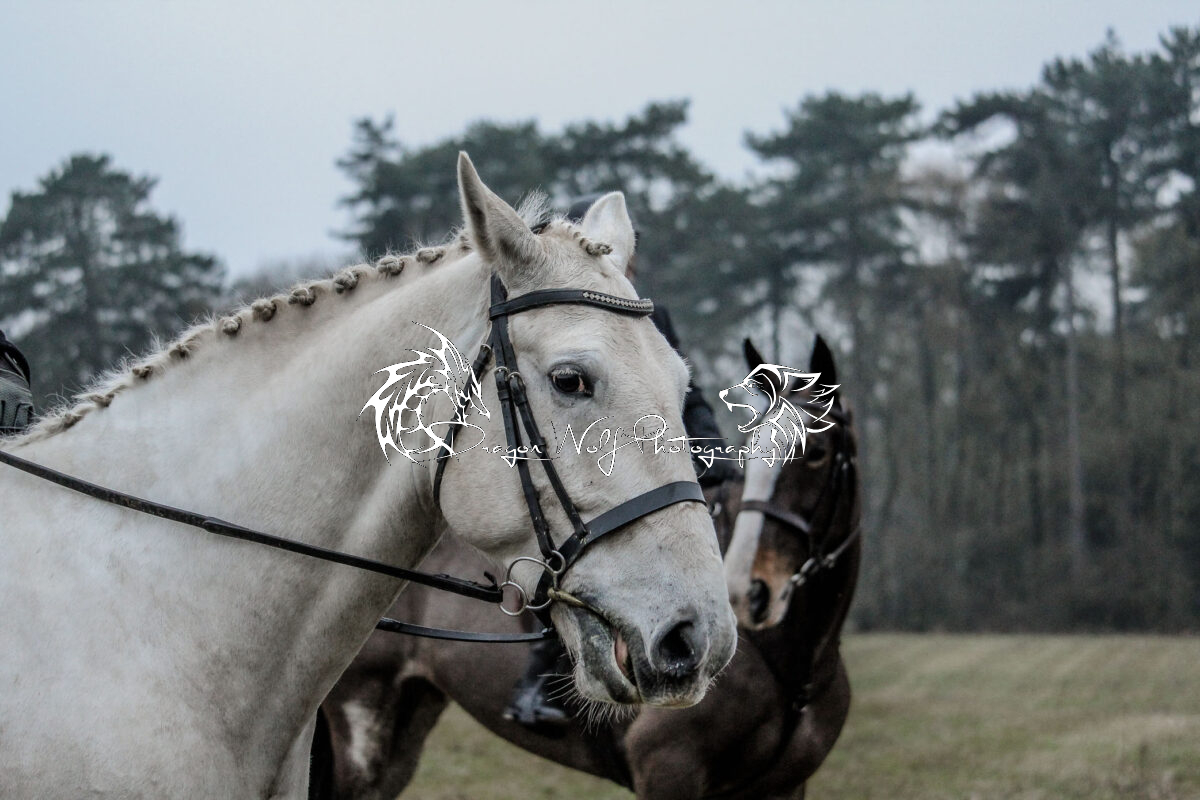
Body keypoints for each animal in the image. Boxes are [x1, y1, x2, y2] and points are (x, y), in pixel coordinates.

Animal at [315, 335, 861, 799]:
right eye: (751, 451)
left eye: (817, 452)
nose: (749, 591)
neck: (793, 660)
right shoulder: (670, 772)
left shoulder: (783, 787)